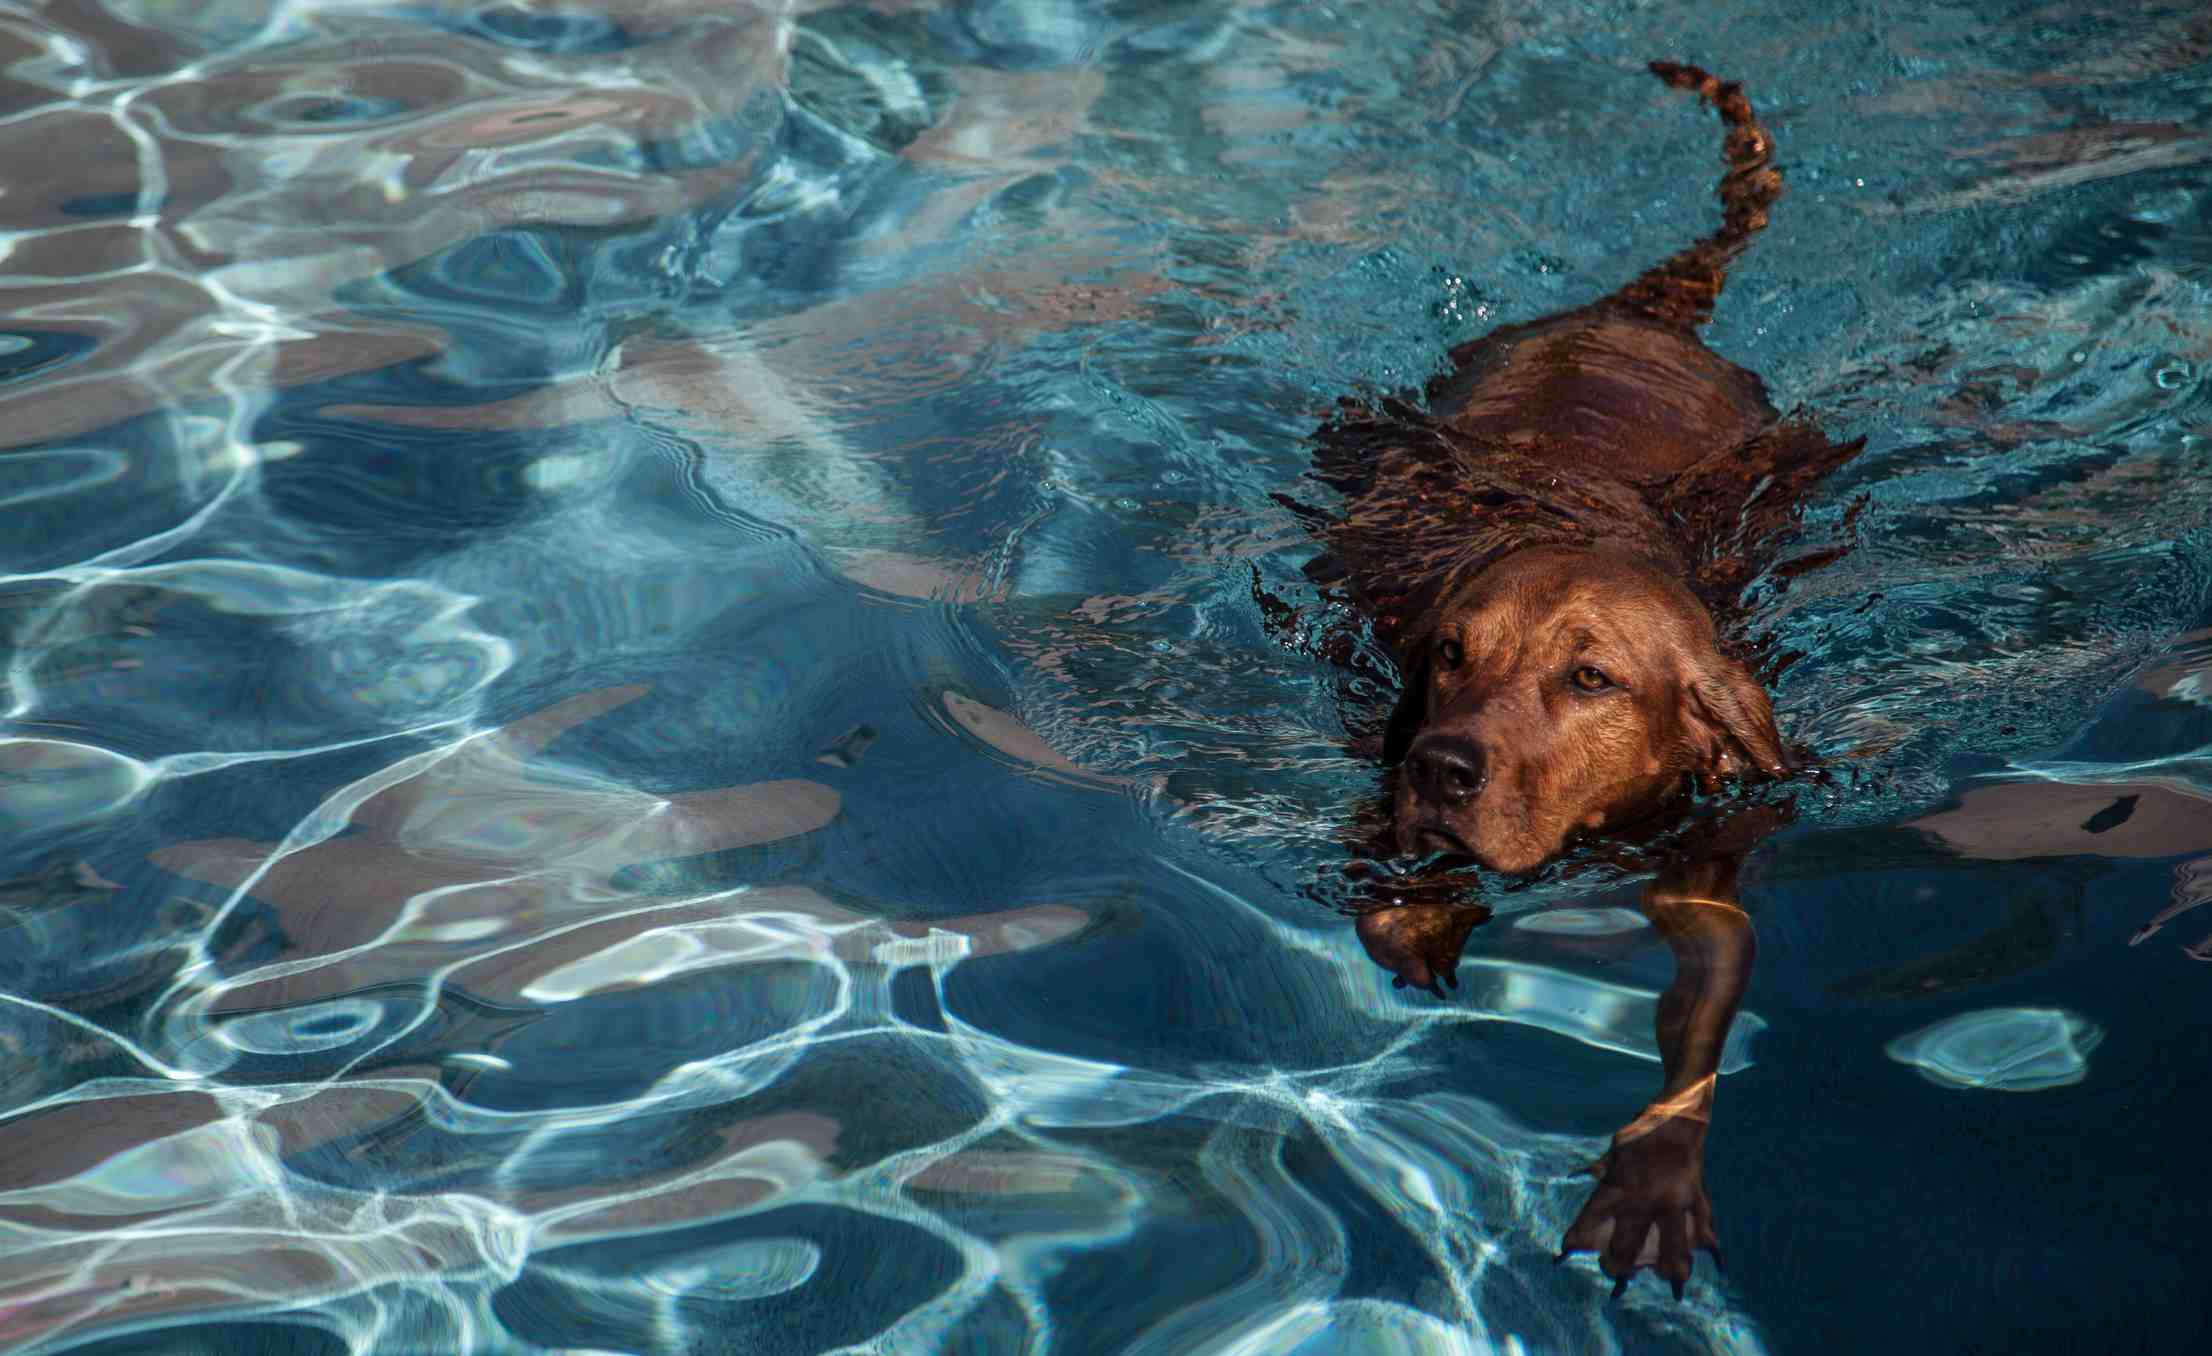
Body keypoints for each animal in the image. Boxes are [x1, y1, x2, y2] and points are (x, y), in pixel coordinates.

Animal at [1291, 60, 1866, 1300]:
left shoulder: (1707, 859)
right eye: (1450, 654)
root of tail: (1631, 314)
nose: (1440, 766)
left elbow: (1702, 1036)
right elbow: (1381, 881)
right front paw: (1422, 919)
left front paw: (1651, 1183)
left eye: (1591, 677)